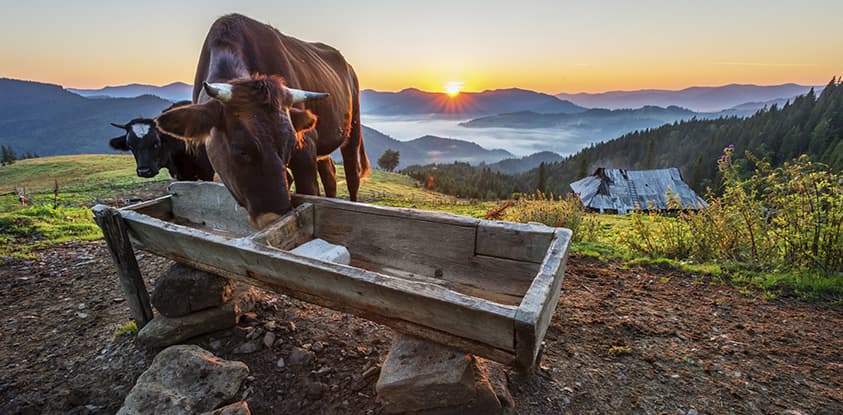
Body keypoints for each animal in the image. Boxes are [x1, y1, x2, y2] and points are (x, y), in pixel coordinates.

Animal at [157, 13, 370, 229]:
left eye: (291, 145)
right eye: (241, 150)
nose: (274, 218)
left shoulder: (306, 148)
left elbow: (310, 191)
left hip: (353, 128)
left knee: (352, 174)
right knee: (330, 174)